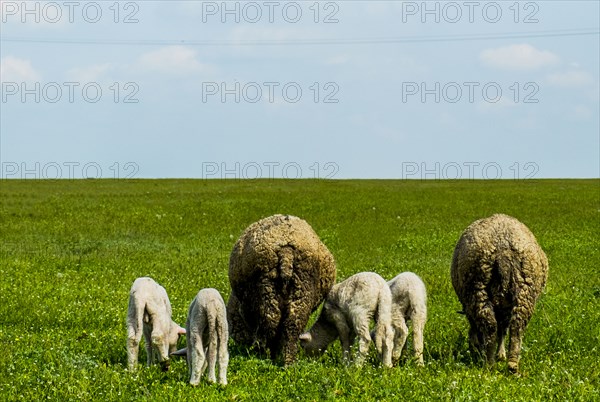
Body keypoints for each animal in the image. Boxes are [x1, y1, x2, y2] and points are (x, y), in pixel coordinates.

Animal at [226, 215, 338, 366]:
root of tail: (286, 250)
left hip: (266, 287)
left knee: (271, 323)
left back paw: (266, 355)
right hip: (302, 287)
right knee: (291, 325)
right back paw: (288, 361)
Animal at [450, 214, 548, 374]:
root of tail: (503, 250)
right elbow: (503, 330)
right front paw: (500, 354)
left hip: (477, 288)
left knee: (490, 326)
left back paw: (490, 363)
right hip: (524, 292)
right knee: (515, 327)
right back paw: (512, 365)